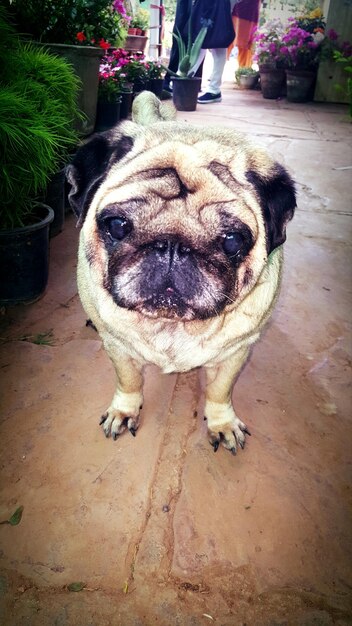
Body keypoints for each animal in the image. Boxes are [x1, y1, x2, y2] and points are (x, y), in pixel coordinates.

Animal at [66, 91, 296, 454]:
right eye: (117, 226)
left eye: (232, 241)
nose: (172, 246)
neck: (172, 325)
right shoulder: (119, 349)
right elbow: (129, 381)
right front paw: (124, 409)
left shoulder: (235, 354)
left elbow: (219, 391)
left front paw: (221, 422)